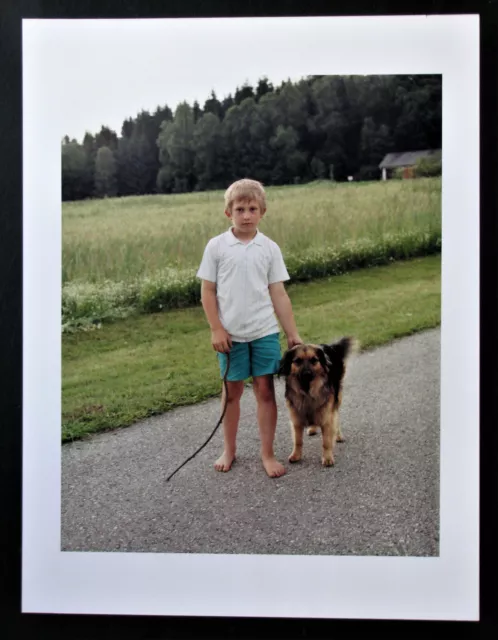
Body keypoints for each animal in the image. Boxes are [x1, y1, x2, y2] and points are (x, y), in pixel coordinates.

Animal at [278, 338, 356, 468]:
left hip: (336, 398)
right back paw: (313, 428)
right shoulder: (296, 418)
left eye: (314, 360)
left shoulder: (327, 416)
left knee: (336, 416)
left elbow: (326, 441)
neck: (307, 392)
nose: (307, 374)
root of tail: (330, 346)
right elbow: (298, 441)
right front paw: (296, 455)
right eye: (297, 361)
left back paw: (338, 435)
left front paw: (327, 458)